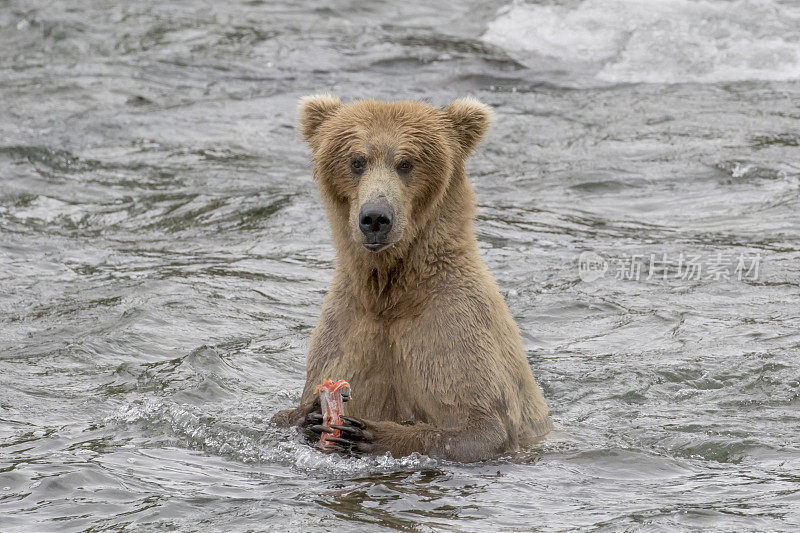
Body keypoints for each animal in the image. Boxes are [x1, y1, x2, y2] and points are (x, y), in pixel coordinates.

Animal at [272, 95, 552, 462]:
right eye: (357, 161)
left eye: (406, 163)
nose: (375, 218)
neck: (390, 290)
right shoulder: (347, 329)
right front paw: (310, 416)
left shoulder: (453, 324)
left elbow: (480, 427)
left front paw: (370, 433)